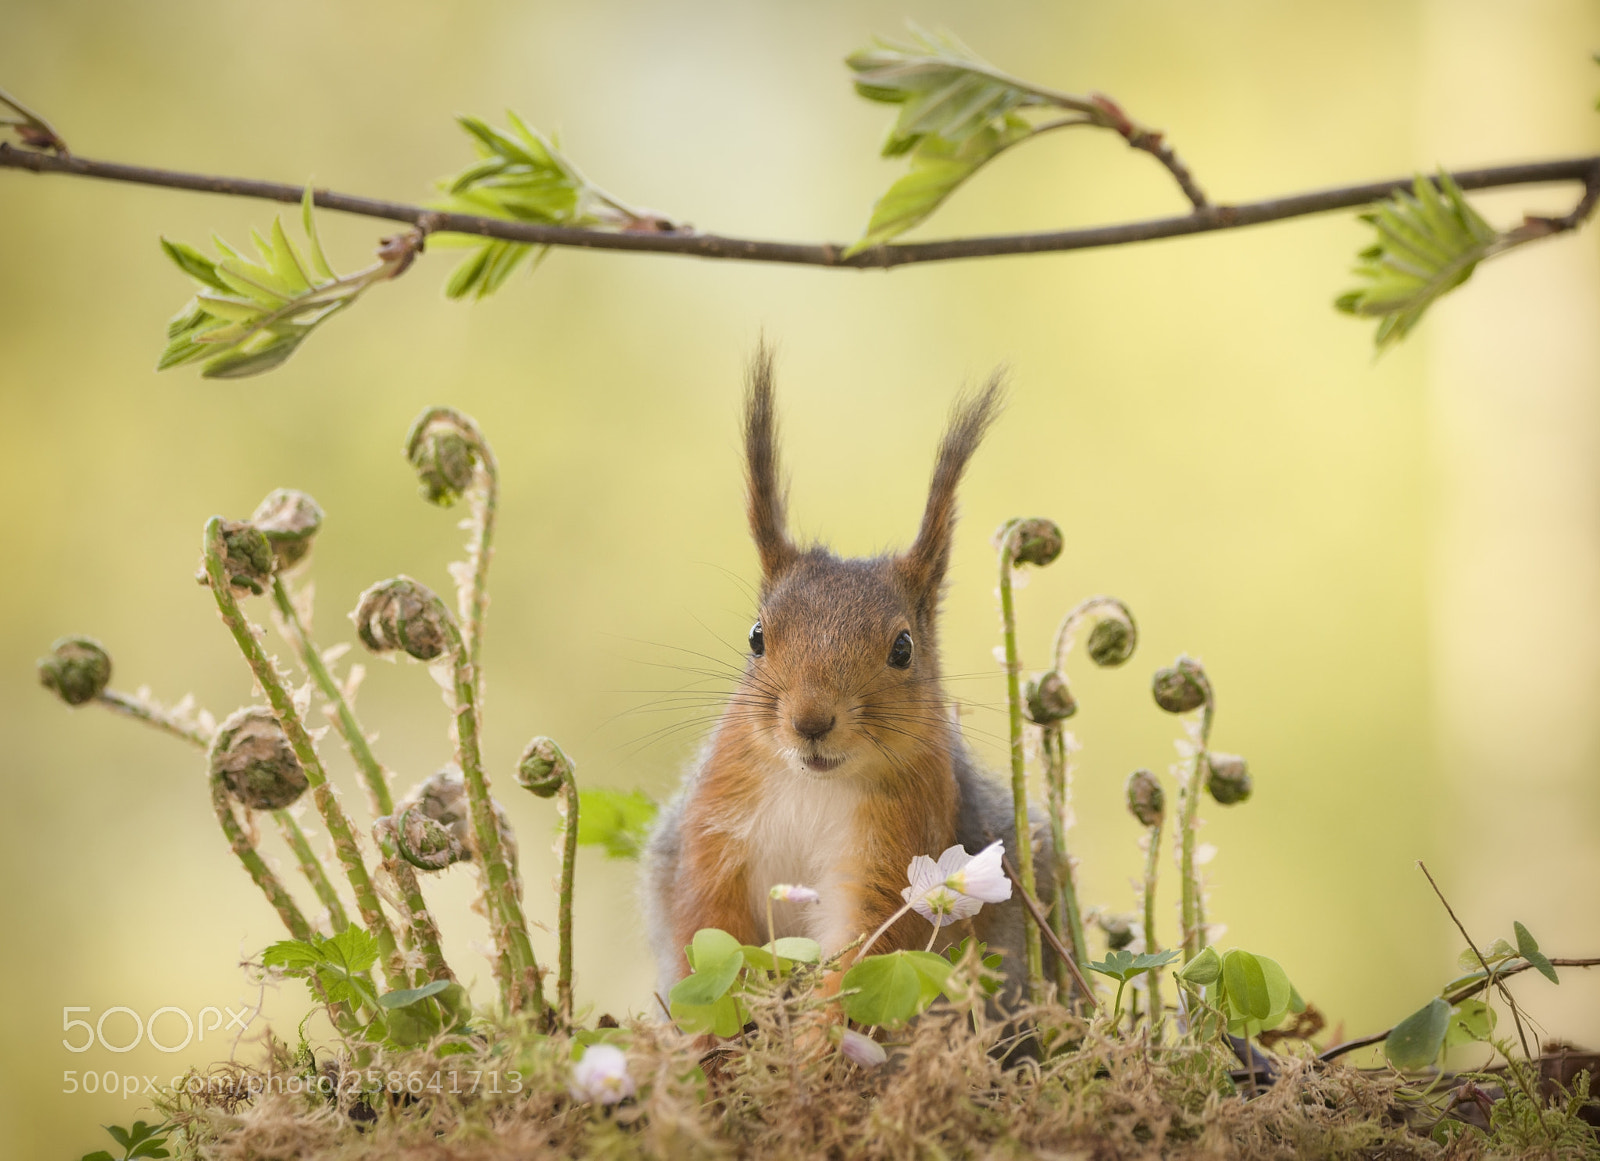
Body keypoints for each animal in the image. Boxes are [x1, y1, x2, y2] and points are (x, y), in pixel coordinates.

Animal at [643, 346, 1051, 1012]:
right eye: (757, 637)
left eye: (903, 648)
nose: (810, 722)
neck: (814, 785)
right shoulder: (715, 830)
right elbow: (706, 932)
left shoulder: (900, 848)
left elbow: (864, 958)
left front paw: (815, 1038)